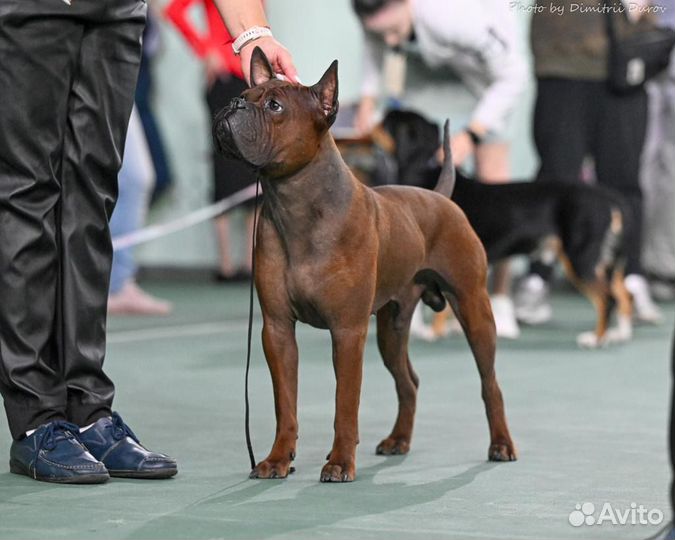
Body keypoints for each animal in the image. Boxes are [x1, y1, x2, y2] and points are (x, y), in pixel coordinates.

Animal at [213, 48, 516, 484]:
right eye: (243, 93)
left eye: (274, 106)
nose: (233, 104)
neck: (296, 205)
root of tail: (441, 197)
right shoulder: (278, 331)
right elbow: (285, 403)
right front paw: (277, 459)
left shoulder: (347, 331)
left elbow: (345, 403)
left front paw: (340, 461)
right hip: (392, 327)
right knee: (409, 382)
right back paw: (398, 440)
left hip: (474, 309)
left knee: (489, 382)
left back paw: (501, 444)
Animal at [378, 108, 632, 350]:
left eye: (384, 123)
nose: (372, 121)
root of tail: (608, 198)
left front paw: (434, 332)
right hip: (604, 261)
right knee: (622, 294)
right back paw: (619, 334)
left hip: (580, 256)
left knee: (607, 298)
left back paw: (596, 339)